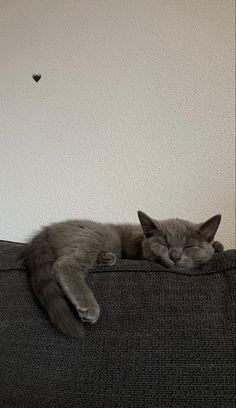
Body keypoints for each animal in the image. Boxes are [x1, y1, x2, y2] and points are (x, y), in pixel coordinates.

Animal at [25, 212, 223, 336]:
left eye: (190, 246)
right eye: (164, 245)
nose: (175, 256)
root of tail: (47, 230)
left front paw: (217, 246)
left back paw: (106, 257)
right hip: (95, 235)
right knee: (65, 264)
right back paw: (89, 304)